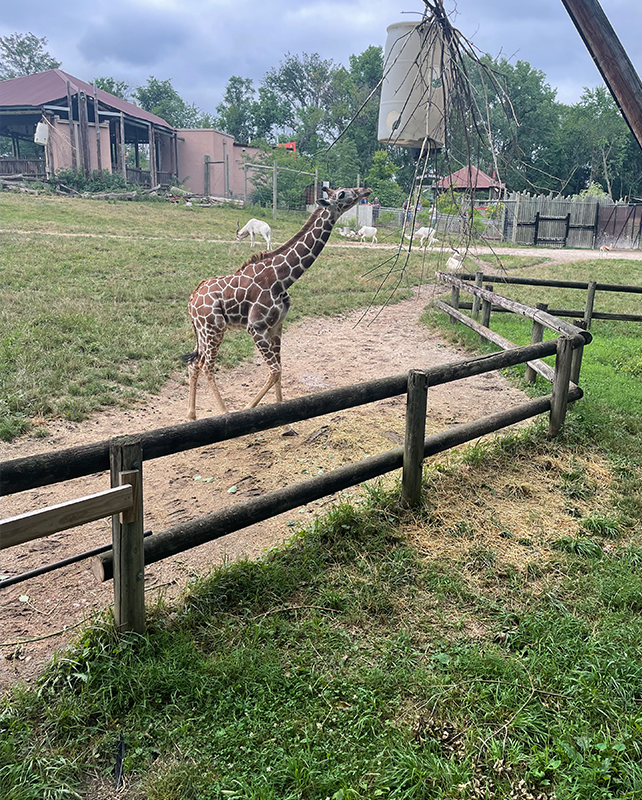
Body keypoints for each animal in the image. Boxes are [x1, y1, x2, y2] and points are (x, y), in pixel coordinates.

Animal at [182, 186, 370, 424]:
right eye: (343, 193)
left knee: (193, 363)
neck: (282, 278)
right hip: (213, 328)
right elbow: (275, 371)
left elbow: (280, 369)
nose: (365, 190)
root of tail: (192, 299)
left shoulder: (276, 326)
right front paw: (248, 409)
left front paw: (285, 424)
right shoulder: (256, 327)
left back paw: (191, 415)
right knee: (207, 366)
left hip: (202, 331)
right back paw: (225, 414)